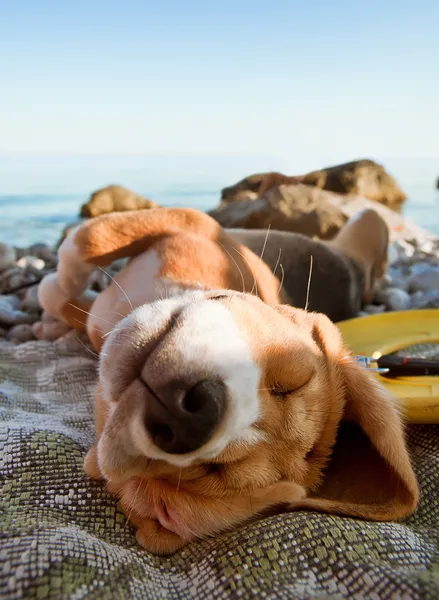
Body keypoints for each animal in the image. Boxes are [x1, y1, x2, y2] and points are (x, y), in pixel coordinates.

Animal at [37, 209, 420, 556]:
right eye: (291, 383)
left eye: (211, 470)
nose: (188, 413)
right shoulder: (193, 222)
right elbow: (87, 241)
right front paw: (57, 291)